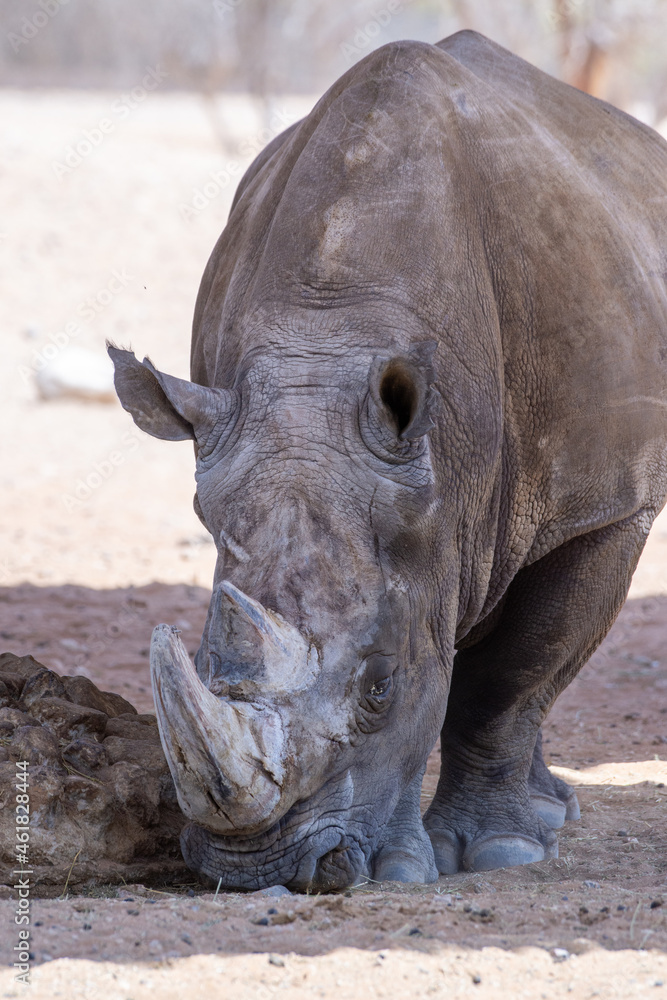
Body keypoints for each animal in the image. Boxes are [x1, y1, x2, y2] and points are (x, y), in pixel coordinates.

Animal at [108, 31, 667, 892]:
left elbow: (513, 675)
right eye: (200, 661)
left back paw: (542, 824)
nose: (256, 868)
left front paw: (491, 855)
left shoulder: (606, 505)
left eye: (380, 688)